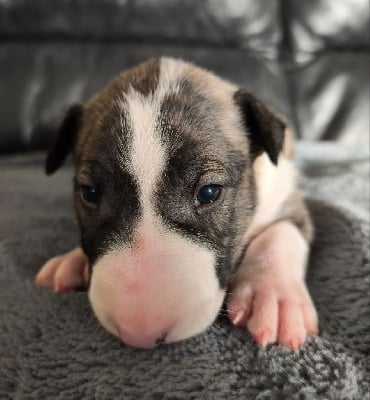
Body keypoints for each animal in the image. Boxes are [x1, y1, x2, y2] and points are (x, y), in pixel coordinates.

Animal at [35, 57, 318, 350]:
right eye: (89, 193)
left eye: (209, 192)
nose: (141, 333)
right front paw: (71, 260)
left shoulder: (287, 197)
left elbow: (281, 234)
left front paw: (274, 296)